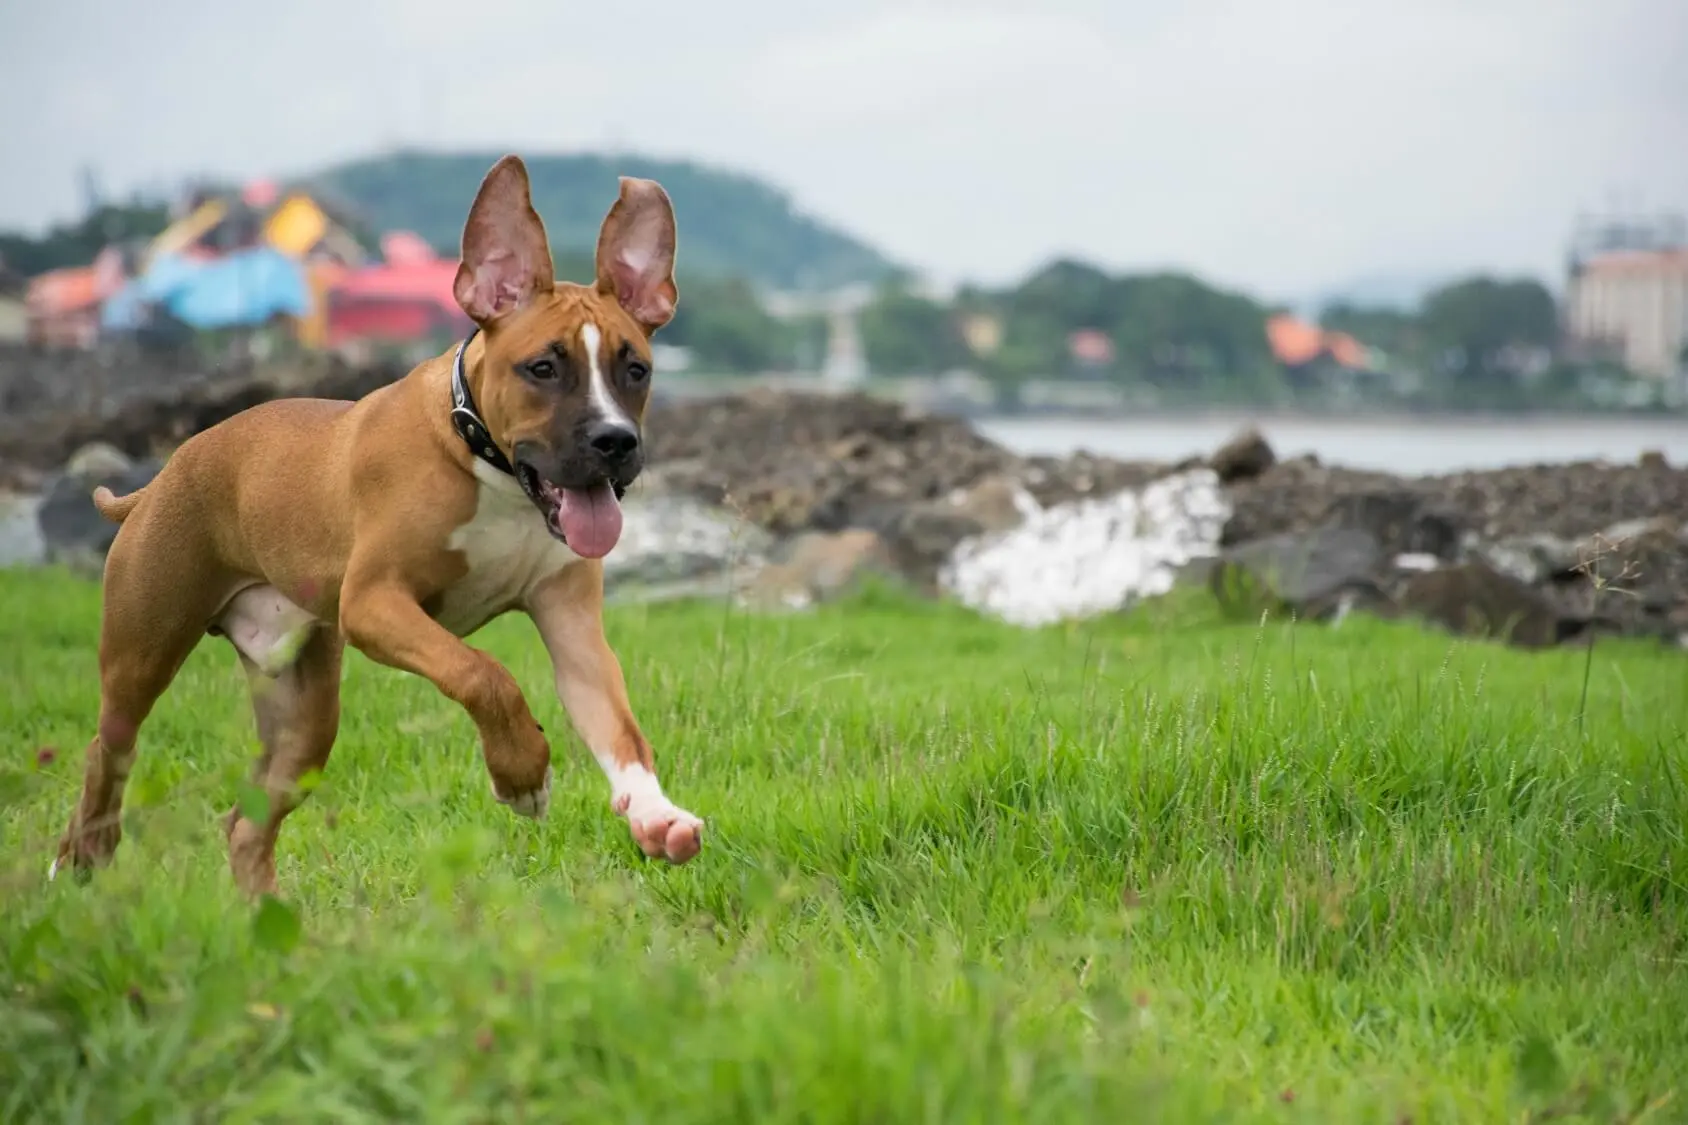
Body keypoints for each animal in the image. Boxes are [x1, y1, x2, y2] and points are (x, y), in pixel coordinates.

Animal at [49, 151, 702, 891]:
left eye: (636, 370)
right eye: (542, 368)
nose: (616, 441)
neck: (496, 473)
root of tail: (160, 479)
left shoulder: (573, 629)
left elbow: (620, 728)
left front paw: (655, 814)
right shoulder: (375, 602)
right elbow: (483, 672)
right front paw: (522, 773)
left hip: (302, 714)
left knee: (247, 823)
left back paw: (260, 909)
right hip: (143, 648)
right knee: (109, 748)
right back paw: (84, 856)